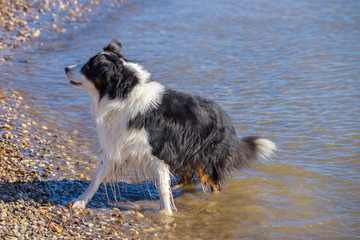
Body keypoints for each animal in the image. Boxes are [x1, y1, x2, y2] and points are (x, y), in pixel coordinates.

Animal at [64, 39, 276, 214]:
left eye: (88, 67)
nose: (65, 67)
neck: (122, 94)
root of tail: (229, 122)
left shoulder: (160, 153)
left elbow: (162, 190)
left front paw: (166, 216)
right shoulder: (114, 144)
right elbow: (95, 180)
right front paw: (80, 202)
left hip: (205, 158)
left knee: (213, 184)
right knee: (186, 175)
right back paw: (177, 187)